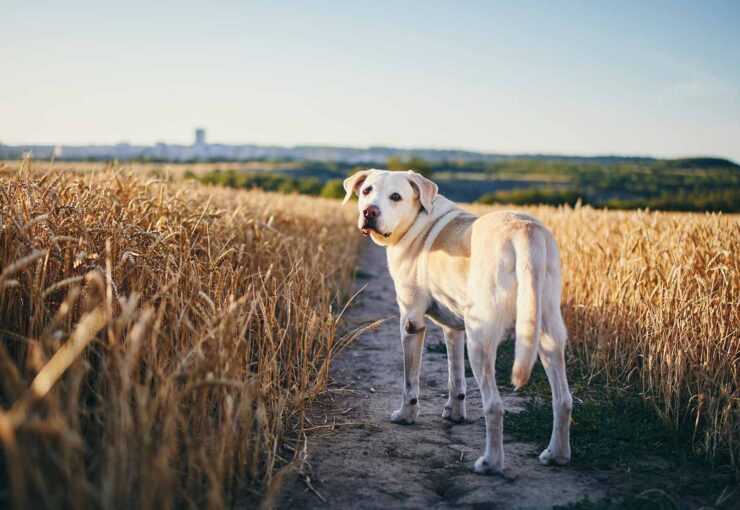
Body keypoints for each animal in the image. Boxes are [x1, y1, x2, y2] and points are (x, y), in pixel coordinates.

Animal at [342, 168, 572, 474]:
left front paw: (406, 415)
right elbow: (455, 377)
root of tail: (525, 232)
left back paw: (490, 463)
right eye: (366, 191)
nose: (369, 212)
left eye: (395, 197)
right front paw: (455, 413)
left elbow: (410, 381)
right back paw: (557, 454)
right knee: (563, 399)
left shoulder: (411, 322)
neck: (417, 221)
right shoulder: (453, 329)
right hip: (546, 332)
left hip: (480, 339)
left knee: (494, 406)